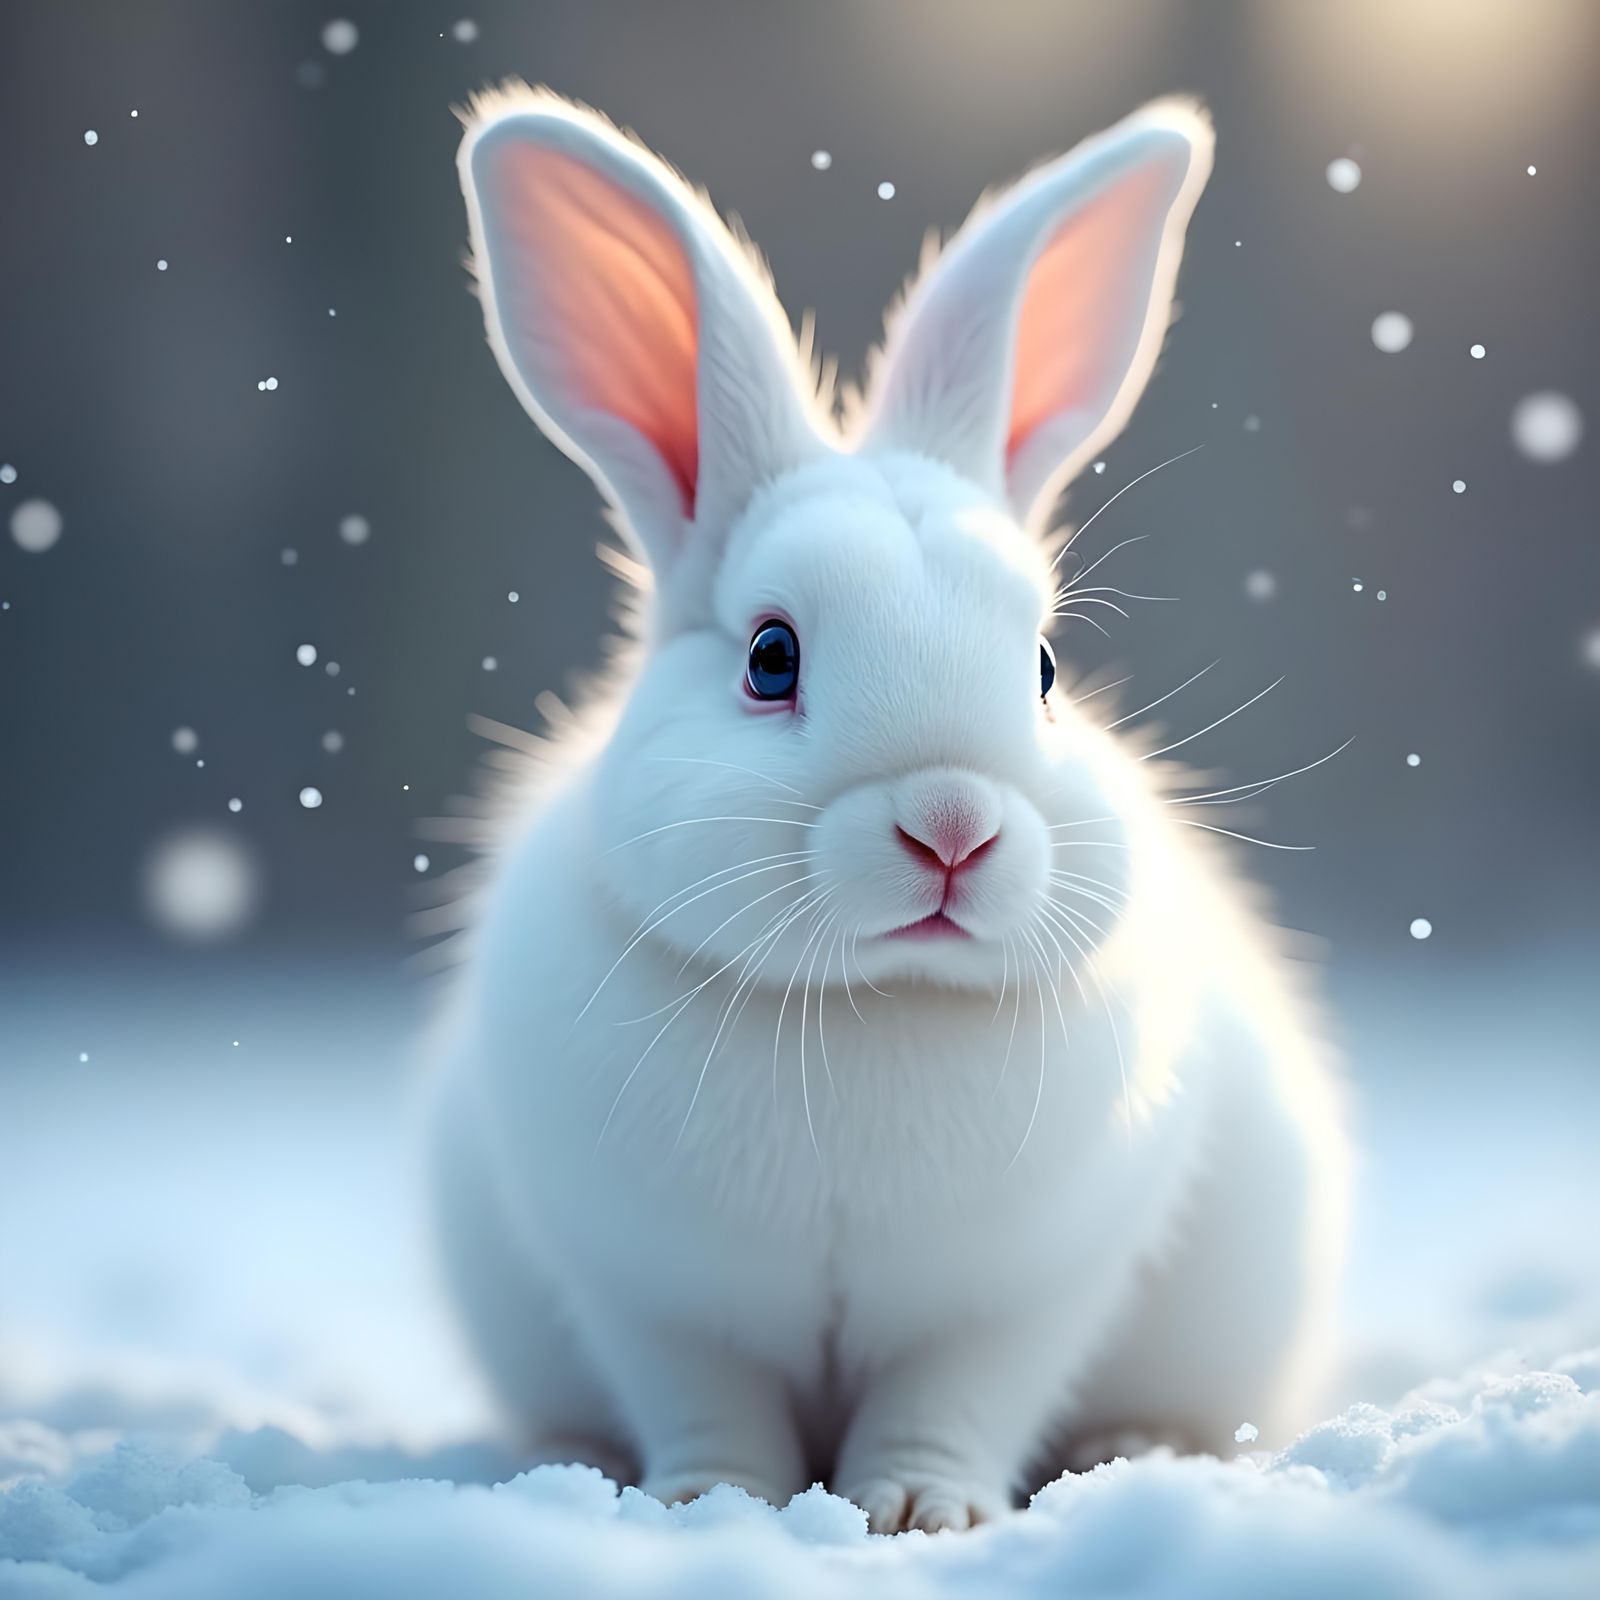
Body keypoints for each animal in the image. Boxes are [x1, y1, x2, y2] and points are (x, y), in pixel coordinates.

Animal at [427, 84, 1350, 1534]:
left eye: (1045, 670)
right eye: (770, 657)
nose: (953, 829)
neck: (870, 1010)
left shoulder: (1017, 1299)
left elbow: (952, 1403)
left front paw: (917, 1514)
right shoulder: (656, 1297)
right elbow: (710, 1404)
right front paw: (705, 1503)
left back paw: (1137, 1446)